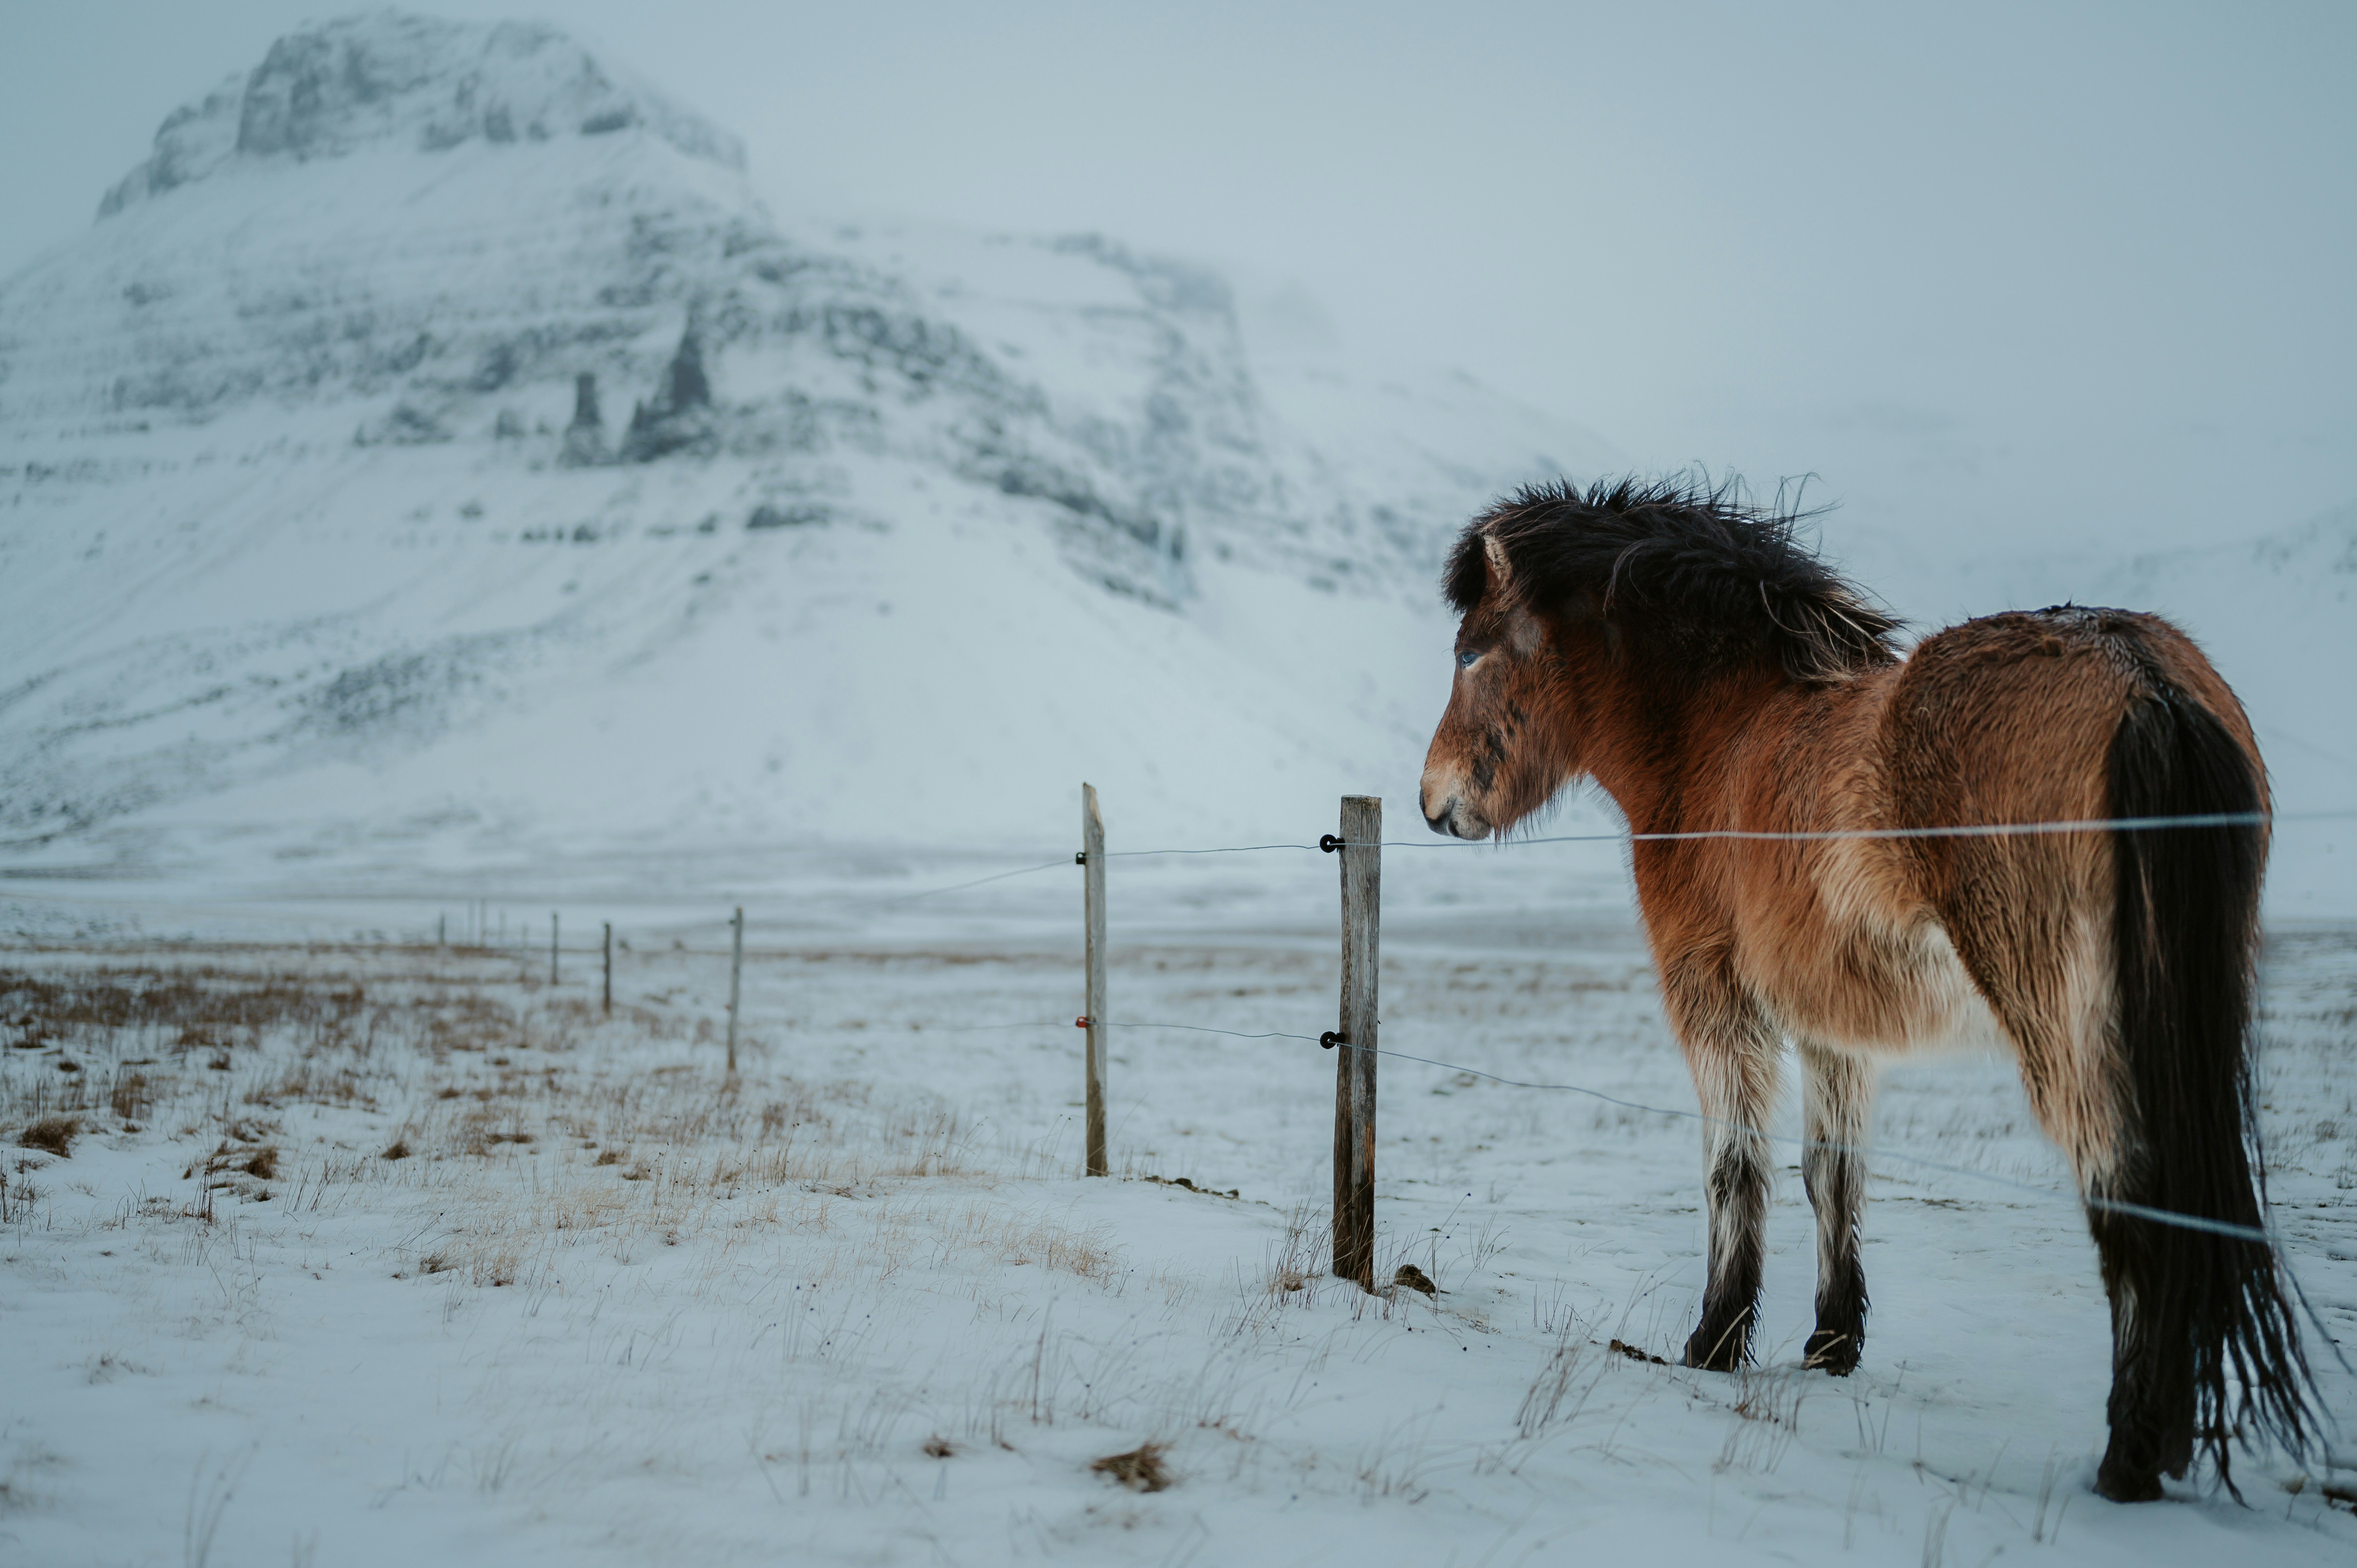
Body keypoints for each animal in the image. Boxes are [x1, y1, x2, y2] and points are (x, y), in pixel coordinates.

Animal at [1417, 476, 2314, 1502]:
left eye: (1471, 651)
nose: (1435, 801)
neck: (1722, 737)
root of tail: (2144, 683)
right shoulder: (1835, 1028)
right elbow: (1832, 1173)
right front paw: (1831, 1343)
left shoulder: (1714, 1001)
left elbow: (1734, 1166)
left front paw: (1712, 1341)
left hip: (2068, 1029)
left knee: (2129, 1192)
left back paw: (2128, 1455)